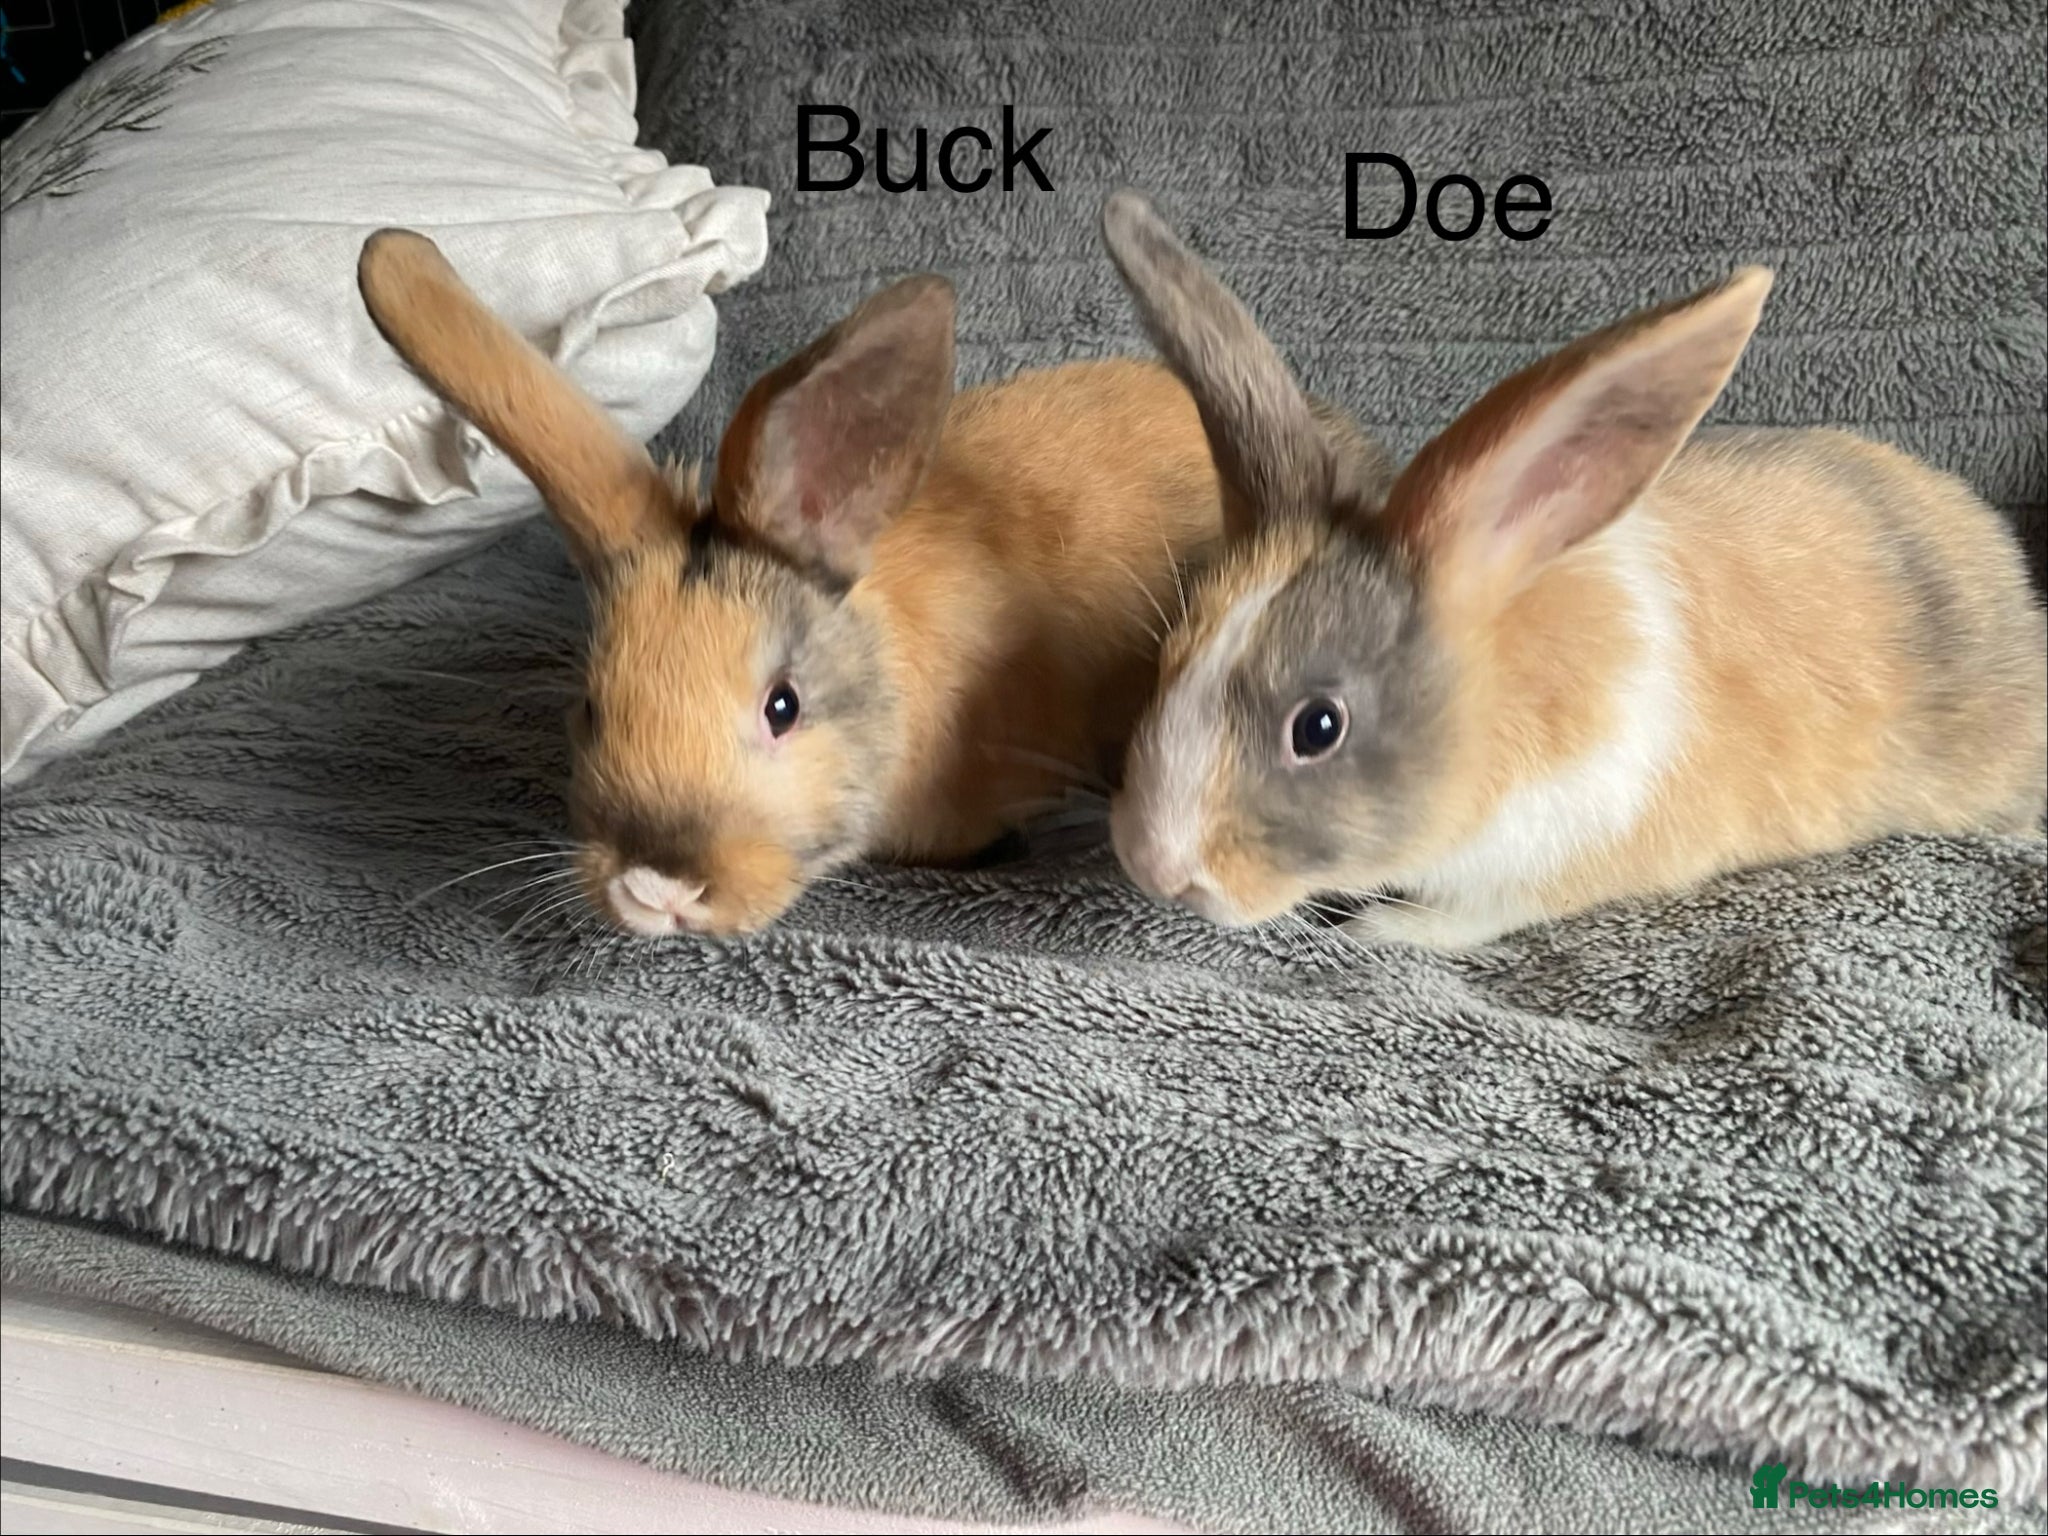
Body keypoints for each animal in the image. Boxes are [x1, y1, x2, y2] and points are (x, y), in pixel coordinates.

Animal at [1096, 190, 2048, 951]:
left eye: (1318, 726)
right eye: (1167, 658)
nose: (1151, 864)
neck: (1500, 709)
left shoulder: (1550, 858)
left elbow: (1466, 917)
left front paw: (1382, 927)